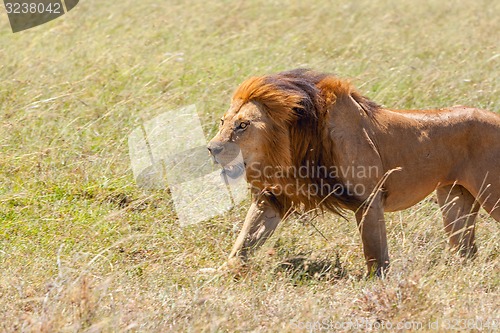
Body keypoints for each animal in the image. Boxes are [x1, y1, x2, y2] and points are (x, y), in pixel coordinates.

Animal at [207, 68, 500, 274]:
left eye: (243, 125)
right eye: (223, 121)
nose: (212, 148)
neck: (288, 152)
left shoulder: (369, 199)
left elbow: (375, 252)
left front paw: (377, 284)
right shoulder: (271, 198)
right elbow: (244, 240)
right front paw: (221, 272)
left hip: (492, 196)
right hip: (455, 199)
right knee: (466, 250)